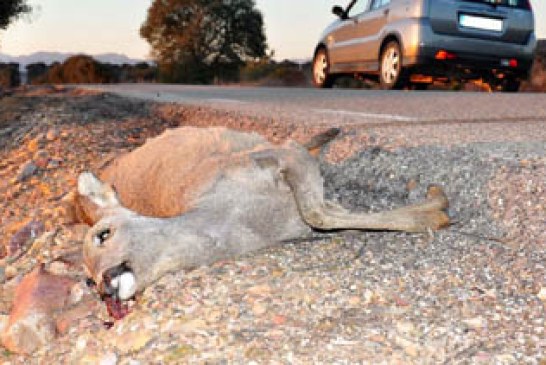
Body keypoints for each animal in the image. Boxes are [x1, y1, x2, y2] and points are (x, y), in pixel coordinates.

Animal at [76, 126, 448, 306]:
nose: (105, 286)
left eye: (103, 234)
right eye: (87, 280)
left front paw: (435, 208)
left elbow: (318, 213)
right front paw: (433, 209)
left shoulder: (278, 156)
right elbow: (327, 212)